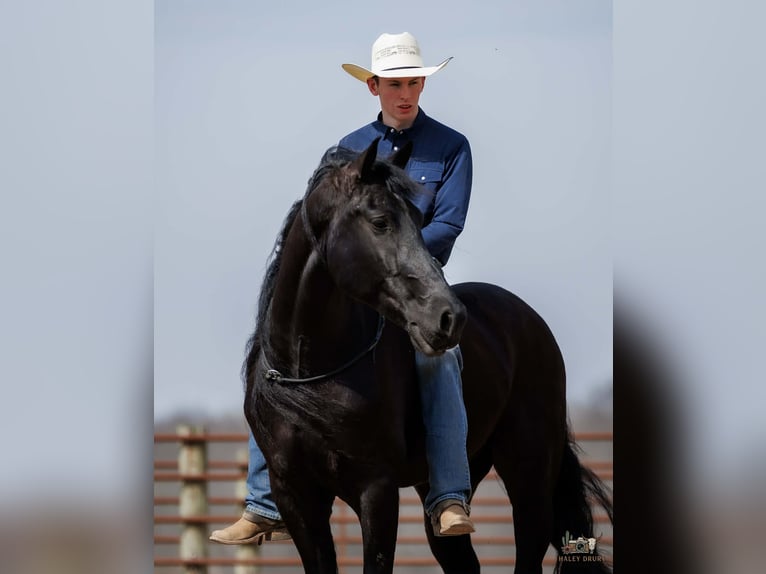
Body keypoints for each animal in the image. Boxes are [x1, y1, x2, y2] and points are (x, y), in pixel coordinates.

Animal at [243, 138, 613, 574]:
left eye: (418, 219)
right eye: (380, 221)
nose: (450, 317)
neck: (312, 374)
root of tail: (529, 321)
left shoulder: (377, 491)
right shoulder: (296, 496)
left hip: (530, 471)